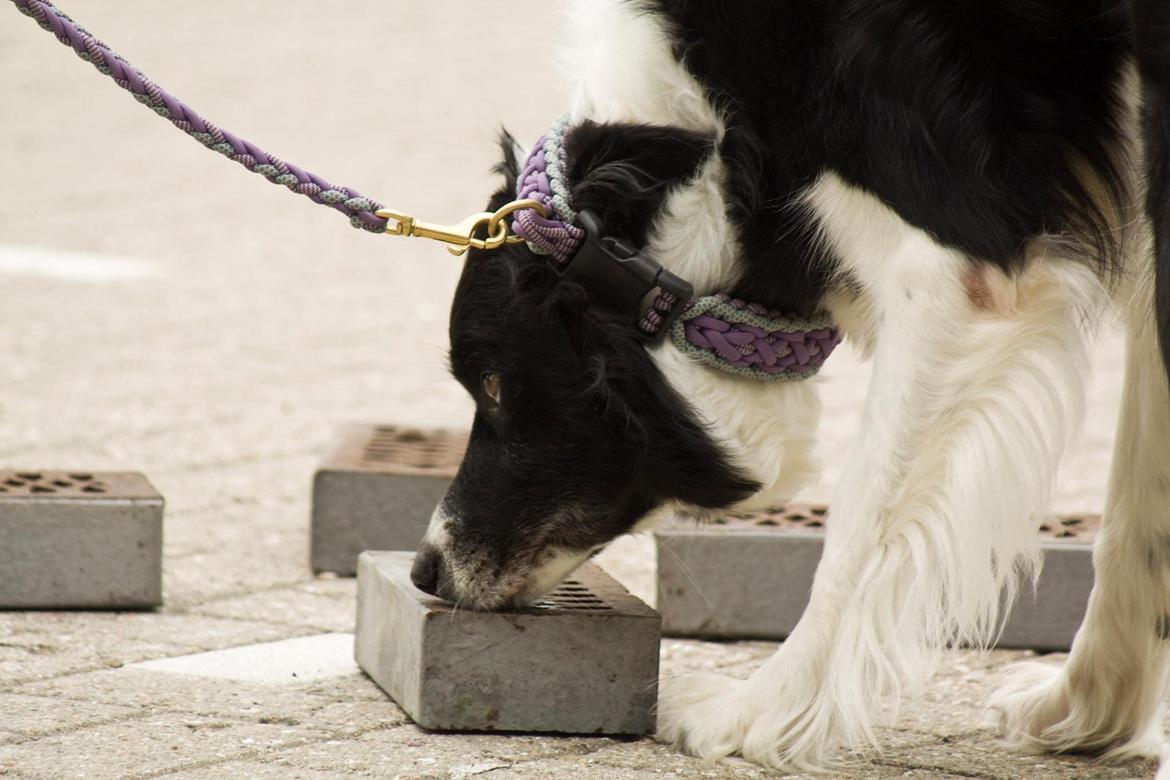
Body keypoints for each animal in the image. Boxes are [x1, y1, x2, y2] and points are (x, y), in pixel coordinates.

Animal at [409, 0, 1170, 771]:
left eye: (494, 385)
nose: (423, 574)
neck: (717, 144)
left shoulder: (951, 272)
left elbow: (858, 529)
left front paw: (755, 713)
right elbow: (1139, 515)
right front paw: (1087, 710)